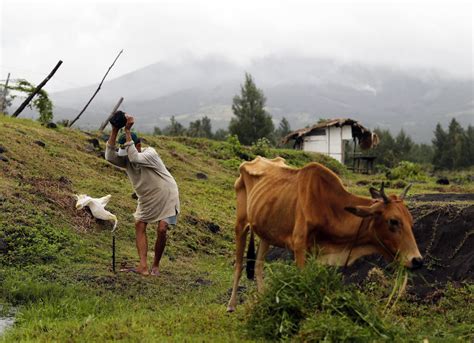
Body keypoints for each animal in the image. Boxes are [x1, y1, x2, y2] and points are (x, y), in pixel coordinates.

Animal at [226, 157, 422, 314]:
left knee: (258, 266)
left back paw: (262, 300)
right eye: (393, 221)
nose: (417, 260)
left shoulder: (315, 251)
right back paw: (231, 305)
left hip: (266, 232)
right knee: (239, 265)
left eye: (411, 221)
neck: (328, 205)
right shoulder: (299, 247)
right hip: (241, 225)